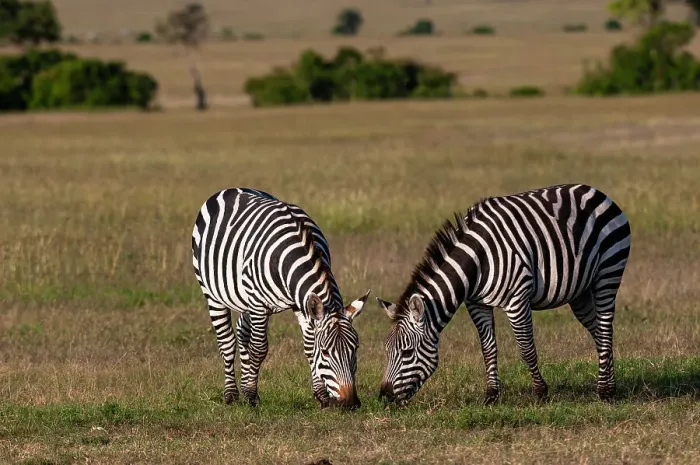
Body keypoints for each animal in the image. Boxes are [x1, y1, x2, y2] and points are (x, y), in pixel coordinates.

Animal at [191, 187, 370, 409]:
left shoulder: (301, 304)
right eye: (326, 352)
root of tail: (232, 189)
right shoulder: (259, 305)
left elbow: (308, 348)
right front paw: (251, 395)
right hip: (213, 294)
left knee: (242, 332)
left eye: (355, 348)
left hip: (245, 298)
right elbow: (259, 349)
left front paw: (321, 396)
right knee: (227, 341)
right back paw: (232, 394)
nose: (350, 403)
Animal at [376, 184, 631, 405]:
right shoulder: (476, 303)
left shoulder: (517, 299)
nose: (384, 397)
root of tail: (595, 191)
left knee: (605, 328)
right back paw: (610, 384)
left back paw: (605, 391)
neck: (477, 261)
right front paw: (491, 395)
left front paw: (540, 392)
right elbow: (488, 348)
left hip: (608, 272)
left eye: (407, 352)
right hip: (580, 292)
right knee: (598, 331)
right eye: (387, 351)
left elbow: (526, 348)